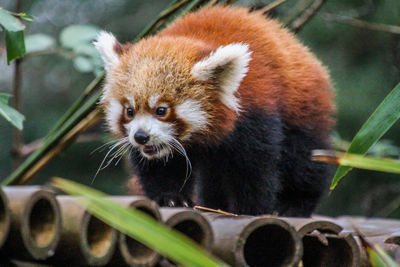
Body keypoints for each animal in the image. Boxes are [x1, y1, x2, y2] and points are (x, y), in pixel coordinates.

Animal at [94, 5, 334, 217]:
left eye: (161, 110)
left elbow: (254, 168)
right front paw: (170, 197)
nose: (141, 137)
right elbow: (160, 167)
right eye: (129, 111)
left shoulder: (255, 113)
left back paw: (294, 204)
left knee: (304, 158)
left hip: (302, 108)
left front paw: (250, 209)